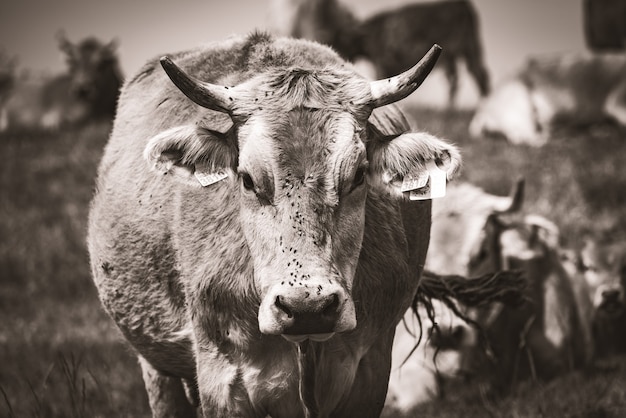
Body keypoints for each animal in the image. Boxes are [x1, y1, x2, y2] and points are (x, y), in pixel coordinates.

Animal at [85, 33, 460, 418]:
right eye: (248, 179)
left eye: (358, 175)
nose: (307, 308)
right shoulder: (222, 380)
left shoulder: (369, 372)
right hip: (156, 366)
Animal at [270, 0, 490, 106]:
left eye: (338, 41)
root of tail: (461, 5)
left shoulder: (381, 60)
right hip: (469, 49)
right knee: (474, 76)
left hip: (459, 49)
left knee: (463, 80)